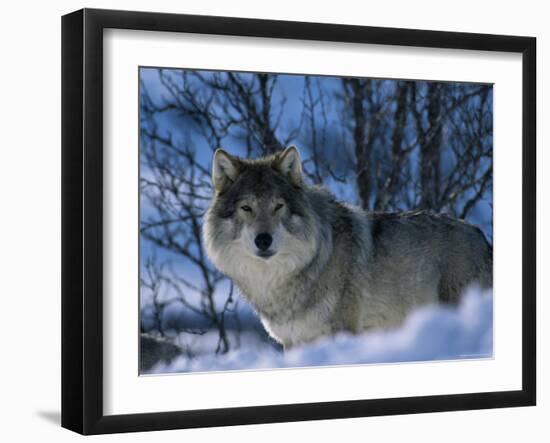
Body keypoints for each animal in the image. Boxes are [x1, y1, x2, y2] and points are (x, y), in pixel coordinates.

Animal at [204, 147, 496, 348]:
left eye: (278, 206)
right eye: (246, 208)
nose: (263, 240)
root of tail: (482, 238)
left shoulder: (341, 332)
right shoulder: (293, 342)